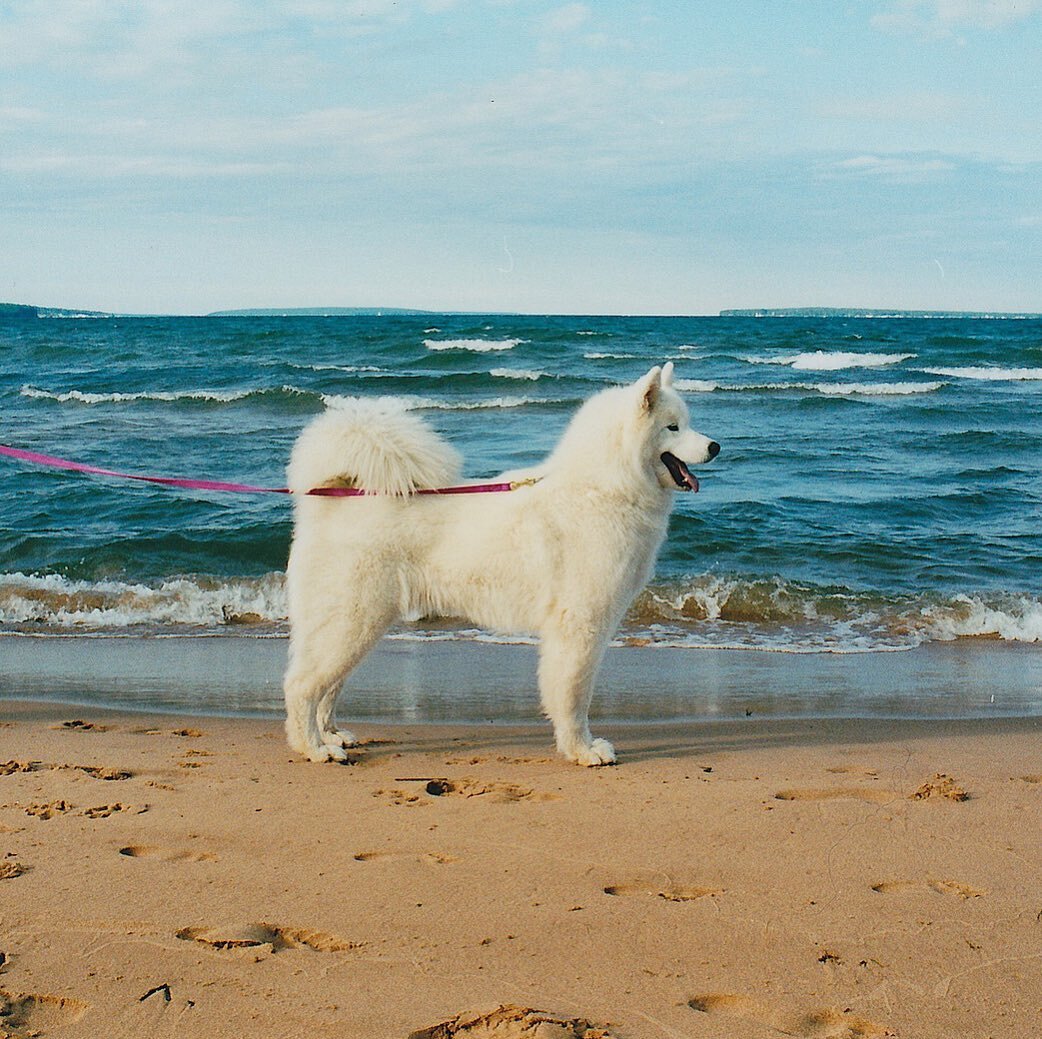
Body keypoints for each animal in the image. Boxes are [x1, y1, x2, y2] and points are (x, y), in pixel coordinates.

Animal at [281, 362, 721, 762]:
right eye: (673, 427)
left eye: (687, 423)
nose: (715, 446)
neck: (602, 489)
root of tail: (333, 500)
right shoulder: (580, 625)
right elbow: (574, 695)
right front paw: (582, 749)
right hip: (352, 621)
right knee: (302, 685)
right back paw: (314, 747)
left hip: (356, 627)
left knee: (328, 686)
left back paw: (333, 735)